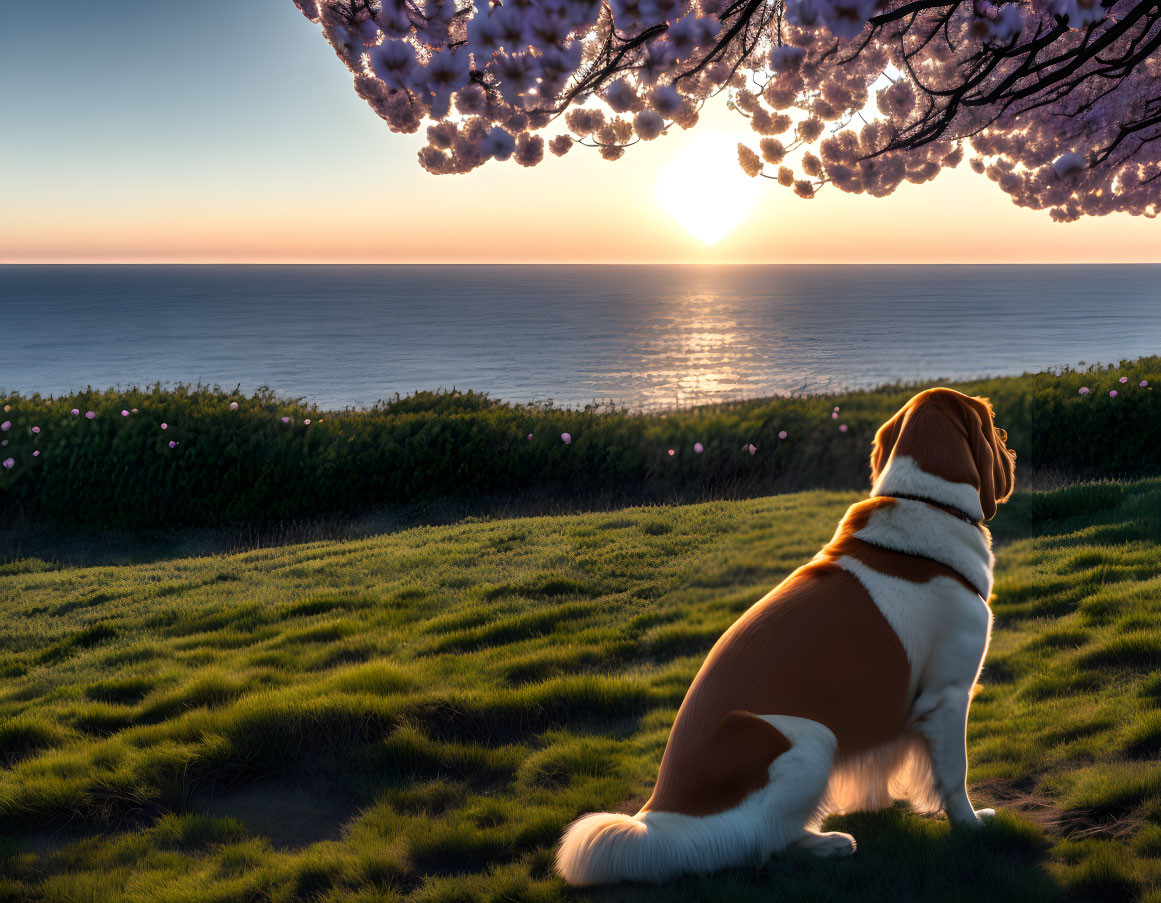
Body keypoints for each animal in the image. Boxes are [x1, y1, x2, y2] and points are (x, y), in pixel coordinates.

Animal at [557, 385, 1012, 877]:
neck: (923, 501)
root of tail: (661, 821)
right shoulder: (948, 695)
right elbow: (954, 776)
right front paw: (972, 826)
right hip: (811, 739)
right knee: (764, 841)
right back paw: (828, 843)